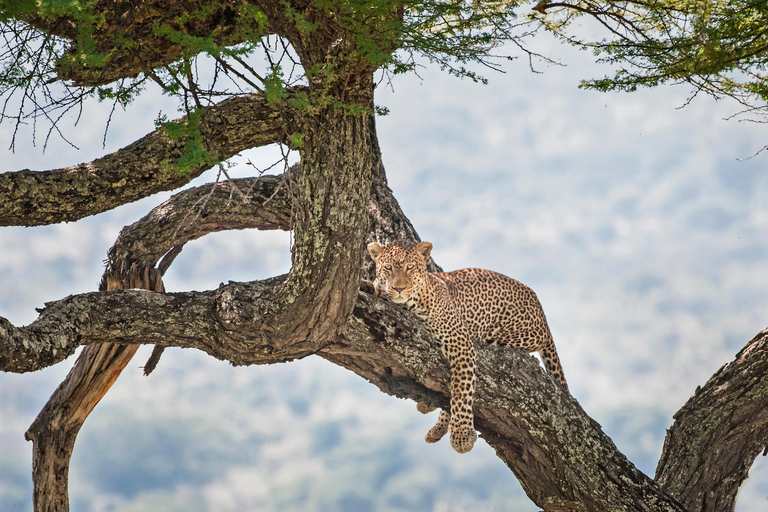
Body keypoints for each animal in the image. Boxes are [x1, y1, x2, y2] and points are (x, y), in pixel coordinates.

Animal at [368, 239, 568, 452]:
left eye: (410, 267)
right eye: (388, 268)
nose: (398, 288)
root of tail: (540, 308)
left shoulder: (461, 343)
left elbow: (461, 390)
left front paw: (461, 436)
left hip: (514, 333)